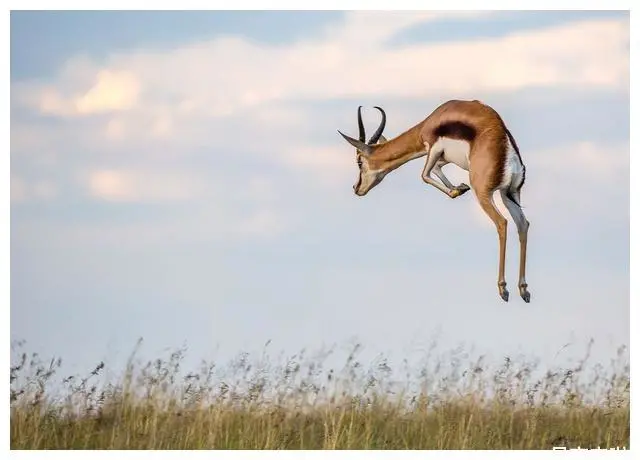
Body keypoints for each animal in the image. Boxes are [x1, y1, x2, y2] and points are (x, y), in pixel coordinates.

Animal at [340, 99, 528, 304]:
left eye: (359, 161)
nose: (357, 188)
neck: (432, 121)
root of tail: (507, 146)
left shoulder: (433, 148)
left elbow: (424, 175)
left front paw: (457, 189)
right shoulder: (442, 158)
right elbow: (437, 170)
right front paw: (460, 188)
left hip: (484, 193)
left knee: (502, 222)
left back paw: (503, 289)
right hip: (509, 194)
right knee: (523, 224)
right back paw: (523, 290)